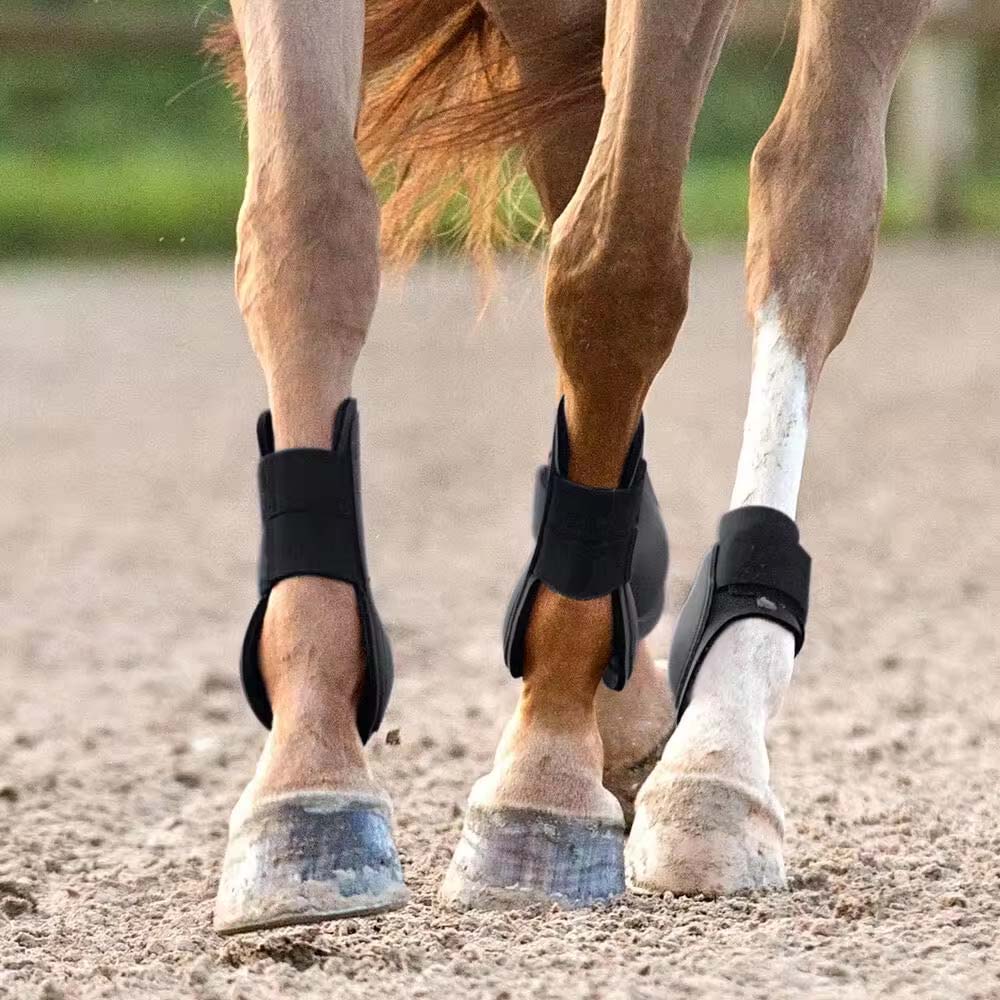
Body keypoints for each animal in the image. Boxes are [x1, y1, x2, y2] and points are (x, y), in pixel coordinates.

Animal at [206, 0, 933, 934]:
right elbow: (304, 224)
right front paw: (308, 784)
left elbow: (614, 270)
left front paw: (542, 779)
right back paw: (633, 724)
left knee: (811, 193)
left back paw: (716, 757)